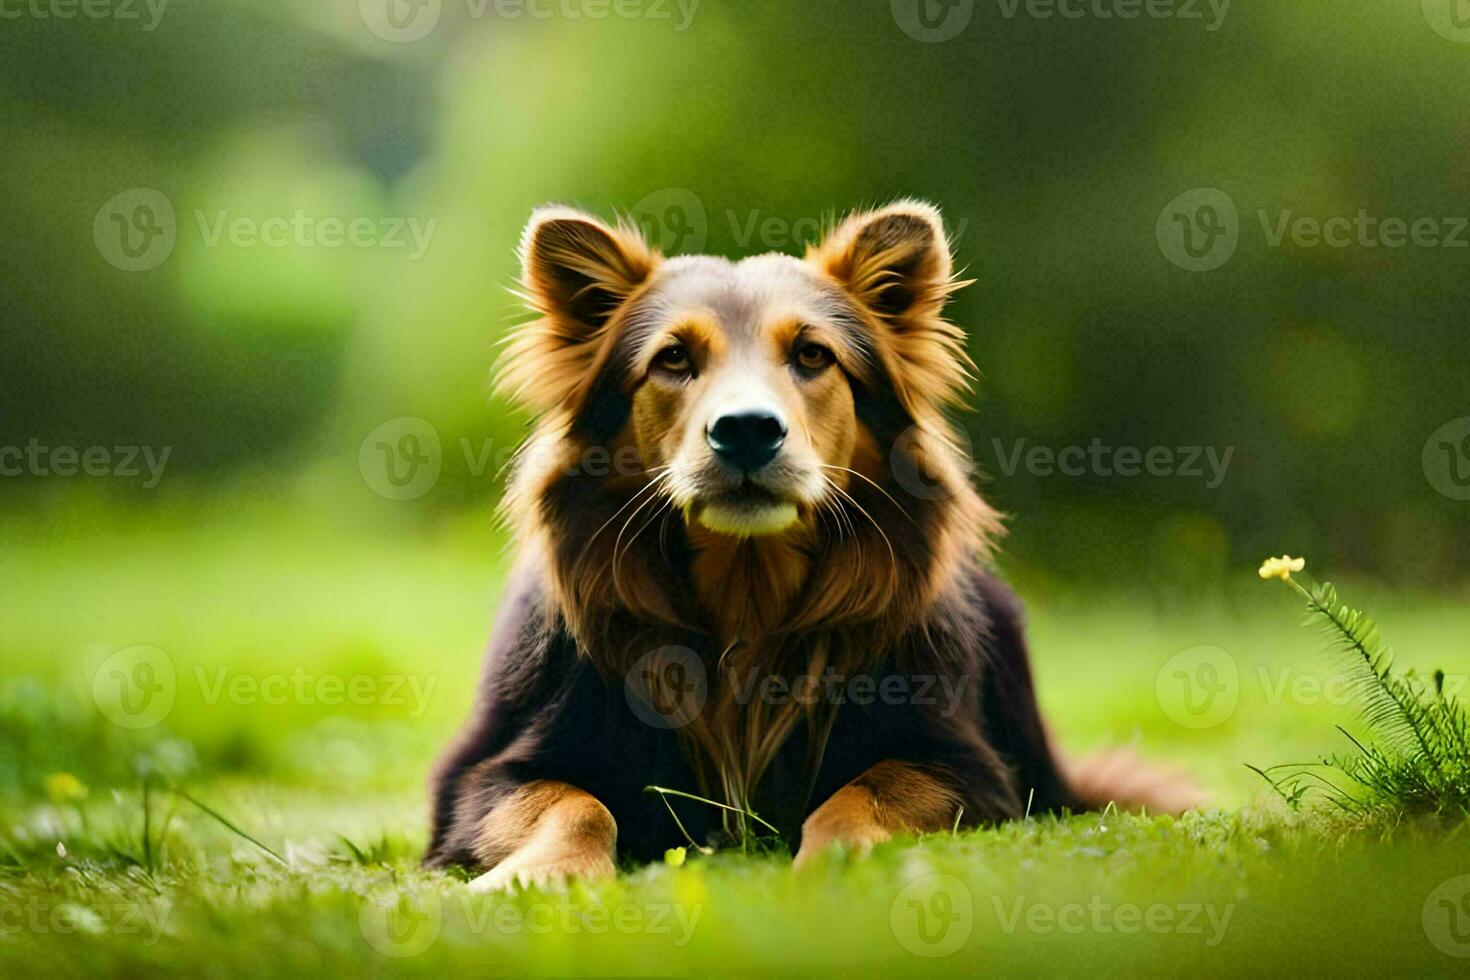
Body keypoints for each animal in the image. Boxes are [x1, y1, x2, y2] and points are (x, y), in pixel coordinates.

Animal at [423, 199, 1193, 887]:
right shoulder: (483, 775)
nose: (746, 430)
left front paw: (840, 858)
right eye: (672, 359)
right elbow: (577, 804)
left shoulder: (966, 766)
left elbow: (865, 790)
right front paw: (545, 874)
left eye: (812, 354)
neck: (747, 590)